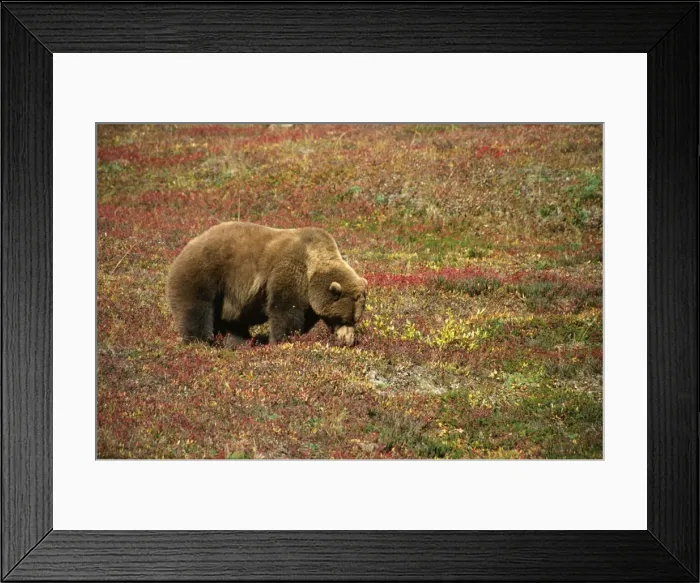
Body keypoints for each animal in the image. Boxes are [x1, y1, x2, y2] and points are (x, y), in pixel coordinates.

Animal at [165, 221, 368, 347]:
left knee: (233, 322)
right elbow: (285, 309)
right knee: (196, 309)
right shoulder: (289, 270)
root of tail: (184, 249)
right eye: (343, 318)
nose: (349, 341)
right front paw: (283, 339)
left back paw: (240, 341)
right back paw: (199, 341)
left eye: (355, 319)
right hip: (204, 274)